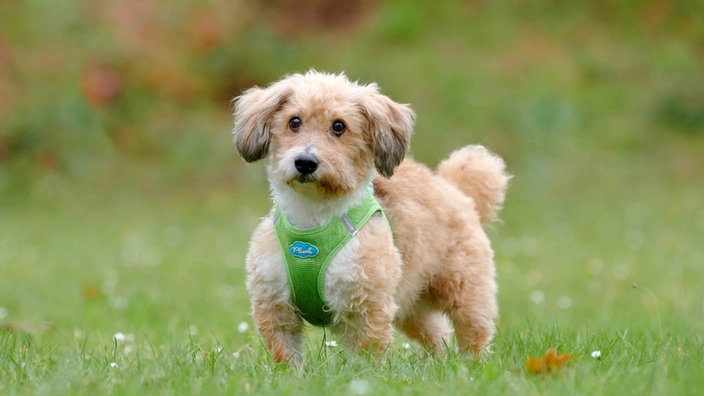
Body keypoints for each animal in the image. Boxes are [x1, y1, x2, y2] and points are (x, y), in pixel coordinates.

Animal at [234, 70, 508, 366]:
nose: (305, 162)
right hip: (410, 303)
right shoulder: (275, 305)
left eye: (339, 126)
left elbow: (368, 354)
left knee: (474, 332)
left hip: (465, 292)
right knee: (437, 332)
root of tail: (455, 188)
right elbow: (285, 355)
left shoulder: (367, 306)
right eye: (294, 122)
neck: (314, 218)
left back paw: (472, 364)